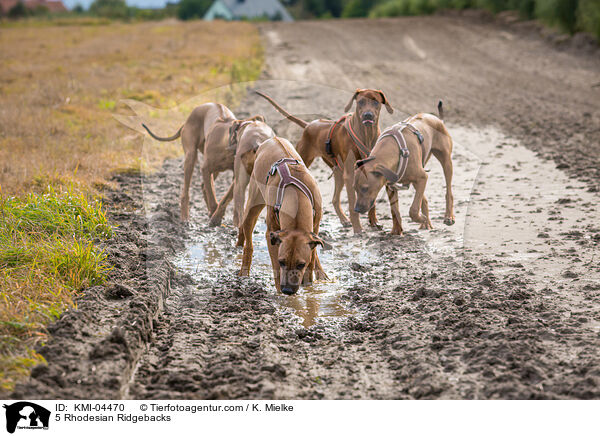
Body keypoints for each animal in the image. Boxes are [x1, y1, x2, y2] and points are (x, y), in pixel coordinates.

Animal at [238, 135, 328, 294]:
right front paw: (280, 294)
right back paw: (244, 272)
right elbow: (276, 270)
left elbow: (311, 258)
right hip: (253, 201)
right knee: (248, 240)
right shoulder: (272, 235)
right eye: (282, 262)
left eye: (300, 264)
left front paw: (309, 286)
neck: (296, 196)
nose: (287, 290)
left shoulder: (315, 227)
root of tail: (272, 138)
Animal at [256, 88, 394, 235]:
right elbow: (352, 205)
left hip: (338, 172)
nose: (368, 115)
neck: (366, 135)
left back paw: (344, 219)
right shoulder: (350, 175)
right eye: (361, 101)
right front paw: (357, 228)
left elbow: (371, 200)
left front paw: (374, 222)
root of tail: (308, 125)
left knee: (335, 199)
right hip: (305, 159)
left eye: (376, 102)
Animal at [352, 102, 454, 235]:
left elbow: (413, 210)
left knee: (449, 192)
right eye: (354, 188)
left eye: (365, 188)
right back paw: (426, 223)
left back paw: (448, 216)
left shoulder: (422, 177)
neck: (396, 150)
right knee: (424, 199)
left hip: (446, 161)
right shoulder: (390, 185)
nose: (356, 209)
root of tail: (437, 118)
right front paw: (396, 231)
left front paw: (420, 218)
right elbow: (394, 211)